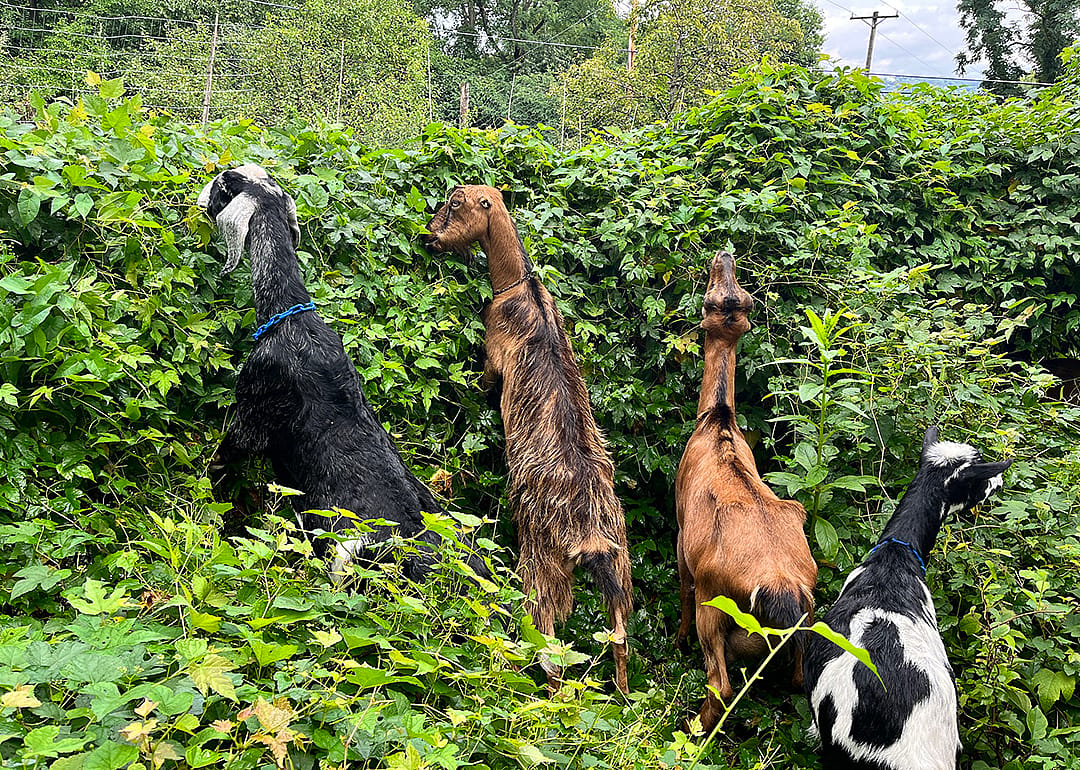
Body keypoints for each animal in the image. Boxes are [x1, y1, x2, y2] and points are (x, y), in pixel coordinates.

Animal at [423, 184, 633, 693]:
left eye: (455, 203)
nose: (429, 237)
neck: (520, 290)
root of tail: (590, 538)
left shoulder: (493, 363)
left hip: (541, 562)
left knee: (551, 648)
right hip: (620, 566)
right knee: (618, 637)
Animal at [675, 251, 818, 732]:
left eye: (707, 299)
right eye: (739, 297)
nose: (724, 255)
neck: (717, 420)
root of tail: (781, 587)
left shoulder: (681, 534)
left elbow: (682, 586)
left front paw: (676, 639)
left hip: (717, 602)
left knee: (720, 683)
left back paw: (692, 728)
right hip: (812, 612)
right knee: (801, 676)